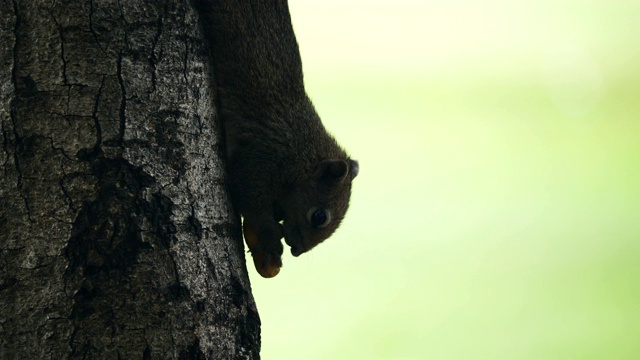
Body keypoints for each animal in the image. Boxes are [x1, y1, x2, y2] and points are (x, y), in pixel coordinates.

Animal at [192, 0, 358, 278]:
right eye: (319, 217)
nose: (297, 250)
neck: (300, 152)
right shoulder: (262, 158)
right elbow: (248, 196)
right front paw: (269, 239)